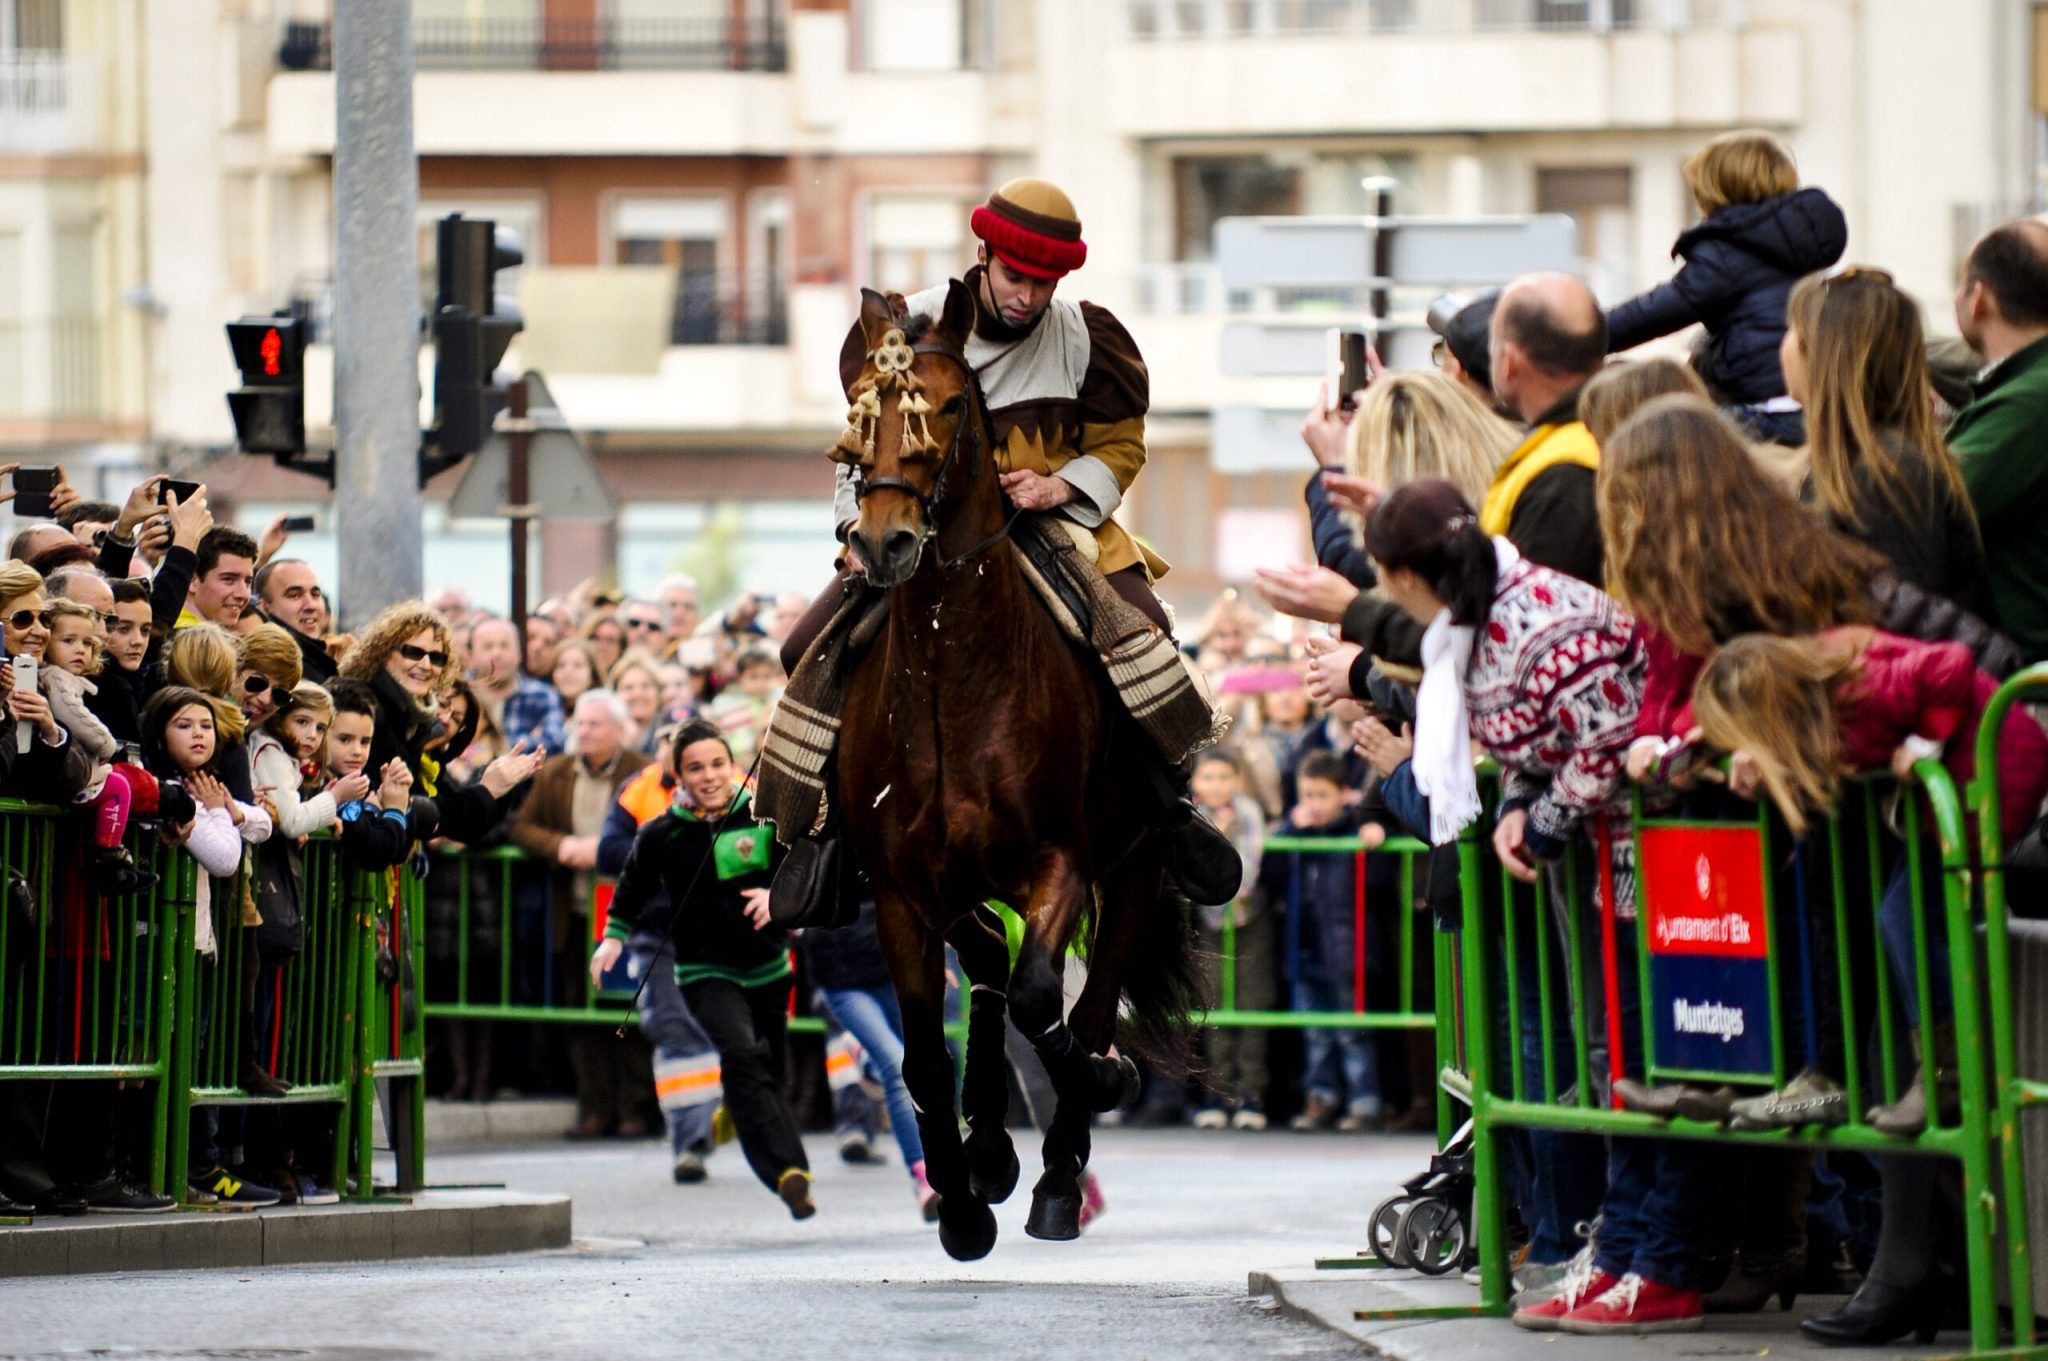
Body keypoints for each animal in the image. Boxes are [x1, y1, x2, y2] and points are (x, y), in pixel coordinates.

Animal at [831, 280, 1196, 1260]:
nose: (883, 544)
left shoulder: (1060, 861)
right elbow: (927, 1051)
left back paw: (1060, 1175)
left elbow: (1043, 1000)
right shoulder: (901, 890)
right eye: (863, 409)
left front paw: (1099, 1088)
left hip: (1135, 869)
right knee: (989, 968)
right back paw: (992, 1149)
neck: (953, 676)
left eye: (952, 407)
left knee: (1084, 1002)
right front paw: (961, 1204)